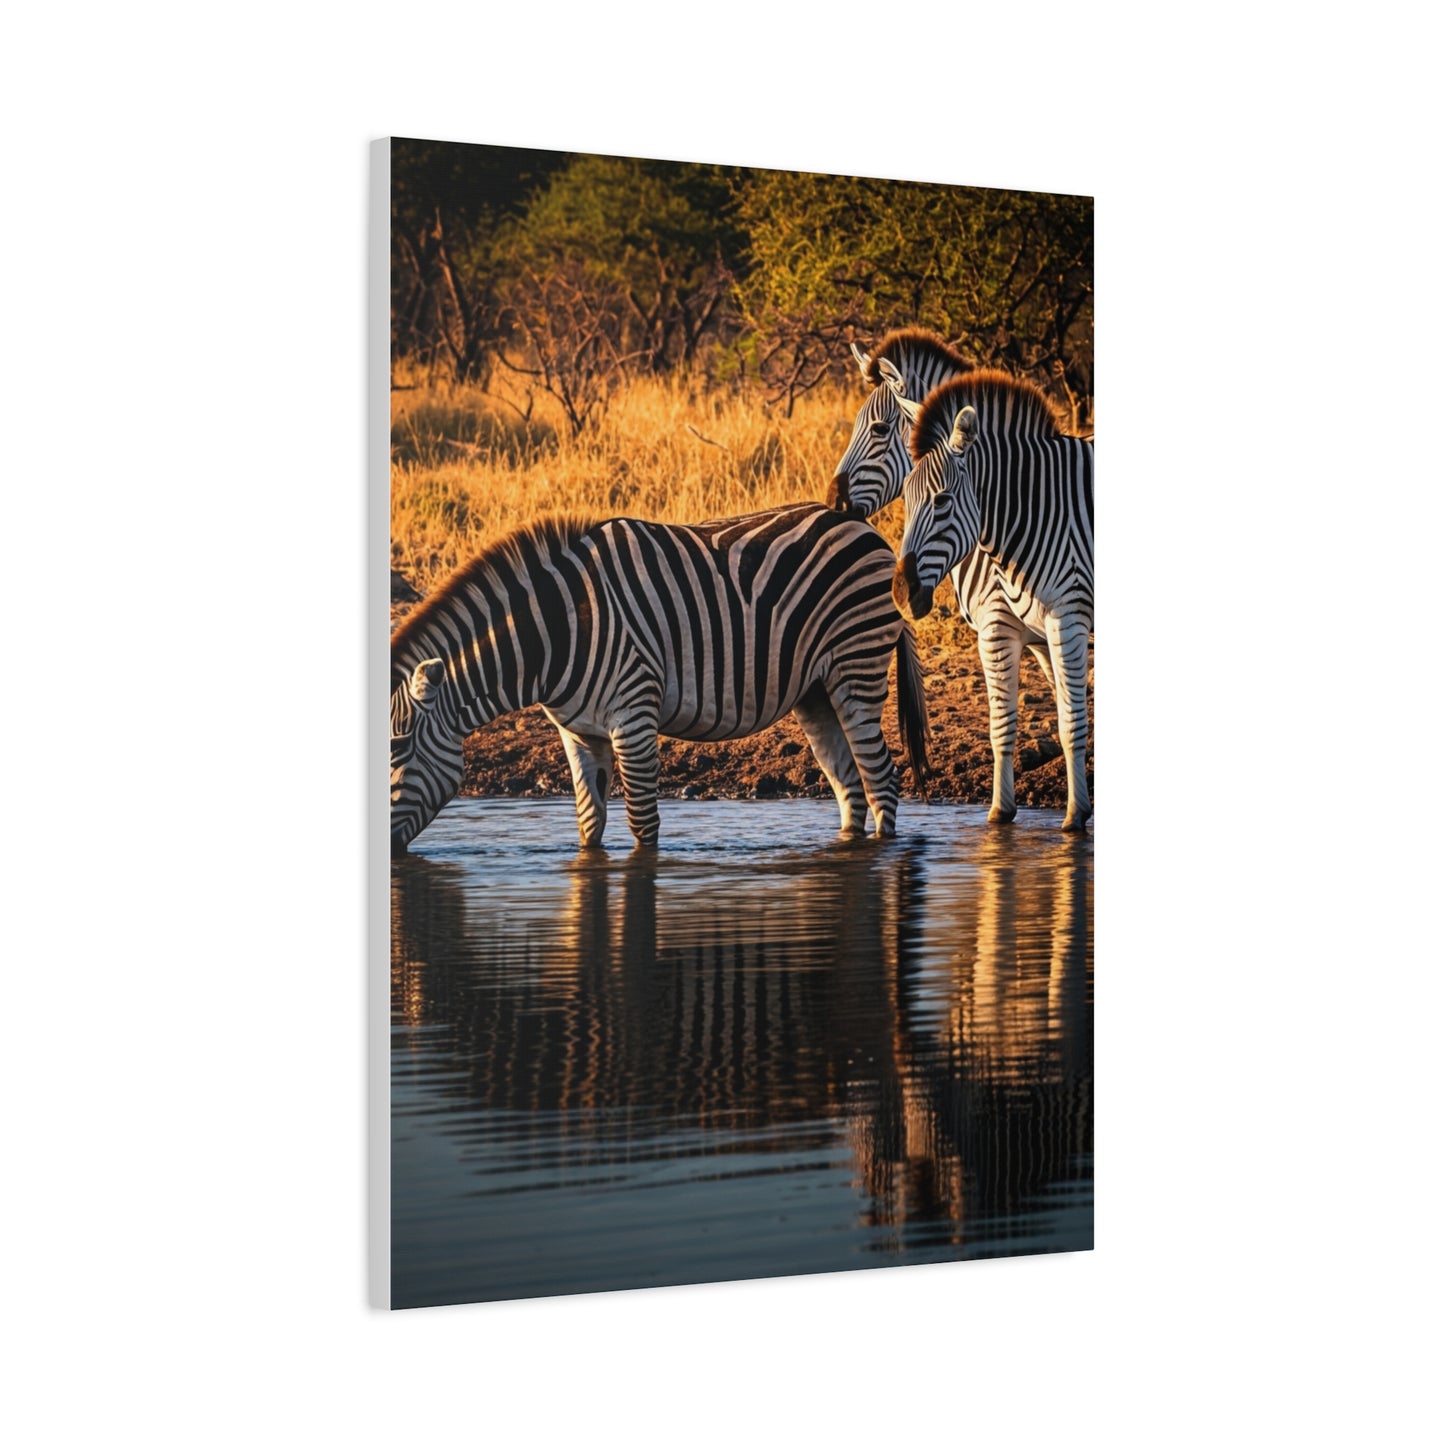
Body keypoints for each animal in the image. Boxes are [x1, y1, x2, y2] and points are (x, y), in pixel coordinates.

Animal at [390, 504, 930, 854]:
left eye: (399, 749)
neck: (559, 631)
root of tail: (864, 526)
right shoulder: (577, 732)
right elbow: (590, 820)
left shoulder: (633, 715)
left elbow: (642, 821)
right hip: (815, 691)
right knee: (848, 783)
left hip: (856, 666)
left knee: (881, 777)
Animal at [892, 373, 1094, 831]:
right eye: (906, 499)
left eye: (942, 501)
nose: (901, 593)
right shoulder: (1013, 631)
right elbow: (1004, 723)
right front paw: (1001, 812)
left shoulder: (1066, 619)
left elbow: (1072, 721)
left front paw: (1075, 815)